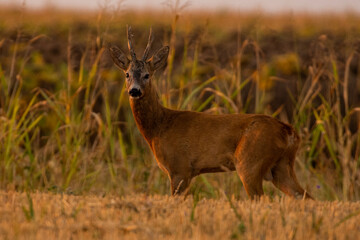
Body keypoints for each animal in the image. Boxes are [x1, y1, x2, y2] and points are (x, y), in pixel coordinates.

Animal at [109, 26, 312, 200]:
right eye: (127, 74)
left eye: (147, 75)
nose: (134, 91)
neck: (159, 127)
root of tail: (289, 131)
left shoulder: (179, 168)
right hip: (282, 166)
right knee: (305, 196)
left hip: (250, 162)